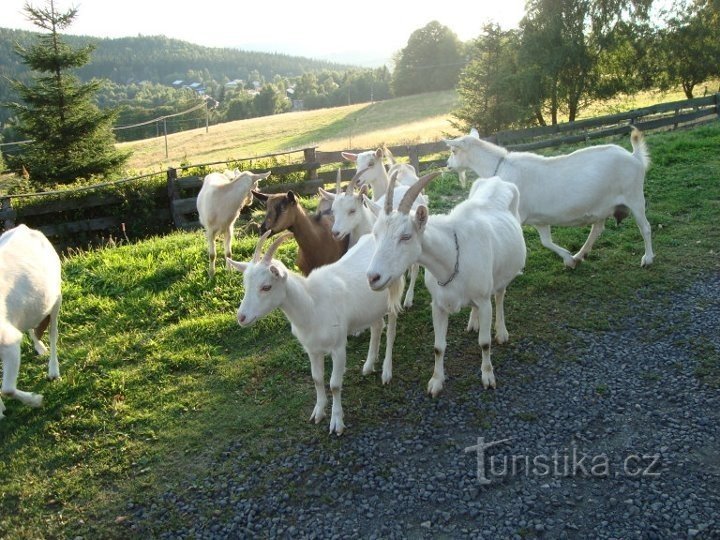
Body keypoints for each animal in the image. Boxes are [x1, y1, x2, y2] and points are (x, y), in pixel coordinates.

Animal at [0, 224, 62, 418]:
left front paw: (36, 400)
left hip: (56, 296)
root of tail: (24, 227)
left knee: (53, 332)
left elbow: (7, 390)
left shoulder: (8, 342)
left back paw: (53, 371)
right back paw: (40, 348)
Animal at [228, 229, 402, 434]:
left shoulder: (338, 347)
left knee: (391, 332)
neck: (312, 304)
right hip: (371, 308)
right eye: (245, 285)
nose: (241, 317)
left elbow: (334, 385)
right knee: (377, 326)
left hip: (394, 292)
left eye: (266, 287)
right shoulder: (312, 349)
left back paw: (386, 372)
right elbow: (317, 379)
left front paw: (337, 422)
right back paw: (368, 366)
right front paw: (318, 412)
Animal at [366, 173, 524, 396]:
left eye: (406, 236)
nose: (373, 277)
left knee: (500, 295)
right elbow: (438, 346)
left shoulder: (485, 301)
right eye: (375, 233)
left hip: (502, 272)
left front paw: (487, 376)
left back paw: (501, 332)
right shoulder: (438, 305)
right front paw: (436, 382)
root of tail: (498, 180)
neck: (452, 257)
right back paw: (473, 322)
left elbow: (484, 343)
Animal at [444, 127, 652, 270]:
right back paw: (580, 255)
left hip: (634, 196)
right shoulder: (539, 219)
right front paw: (568, 259)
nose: (447, 165)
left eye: (453, 151)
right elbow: (546, 242)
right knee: (597, 229)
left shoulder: (517, 215)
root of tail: (634, 157)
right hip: (602, 206)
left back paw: (647, 259)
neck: (499, 168)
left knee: (645, 227)